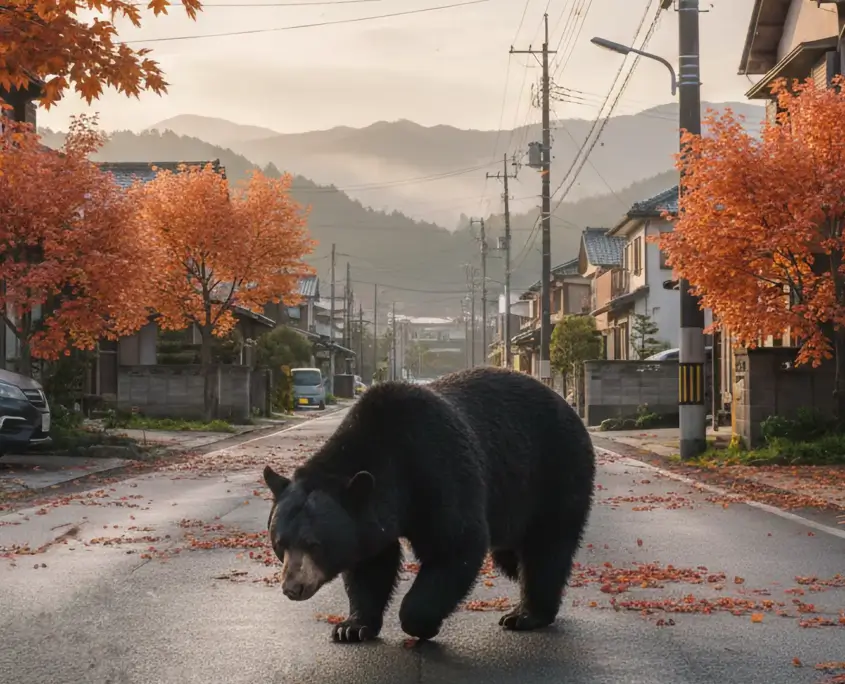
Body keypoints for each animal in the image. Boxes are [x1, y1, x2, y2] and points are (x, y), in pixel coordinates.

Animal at [262, 365, 596, 644]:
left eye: (314, 544)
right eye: (279, 543)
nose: (292, 587)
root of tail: (567, 406)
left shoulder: (438, 469)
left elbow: (456, 544)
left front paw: (421, 622)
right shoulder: (372, 513)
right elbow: (371, 563)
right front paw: (352, 627)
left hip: (556, 470)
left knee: (547, 545)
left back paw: (526, 614)